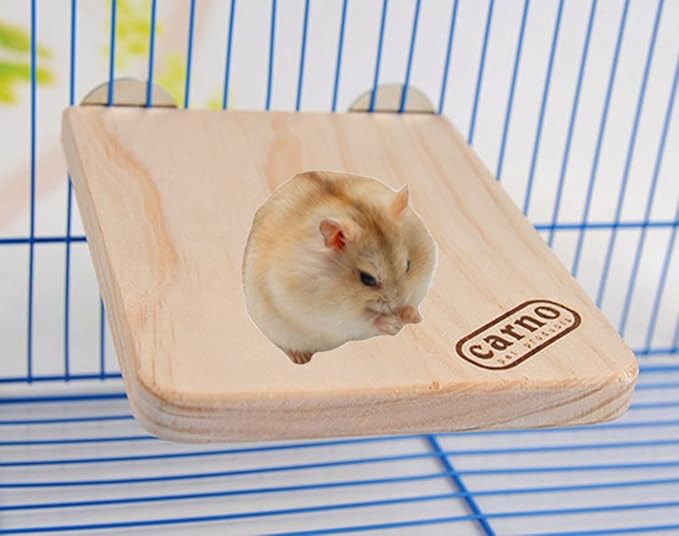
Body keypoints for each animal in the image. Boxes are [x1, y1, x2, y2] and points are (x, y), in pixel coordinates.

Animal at [242, 170, 438, 364]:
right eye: (367, 279)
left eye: (408, 265)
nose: (398, 306)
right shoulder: (329, 316)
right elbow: (364, 320)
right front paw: (393, 325)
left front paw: (413, 316)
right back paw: (301, 359)